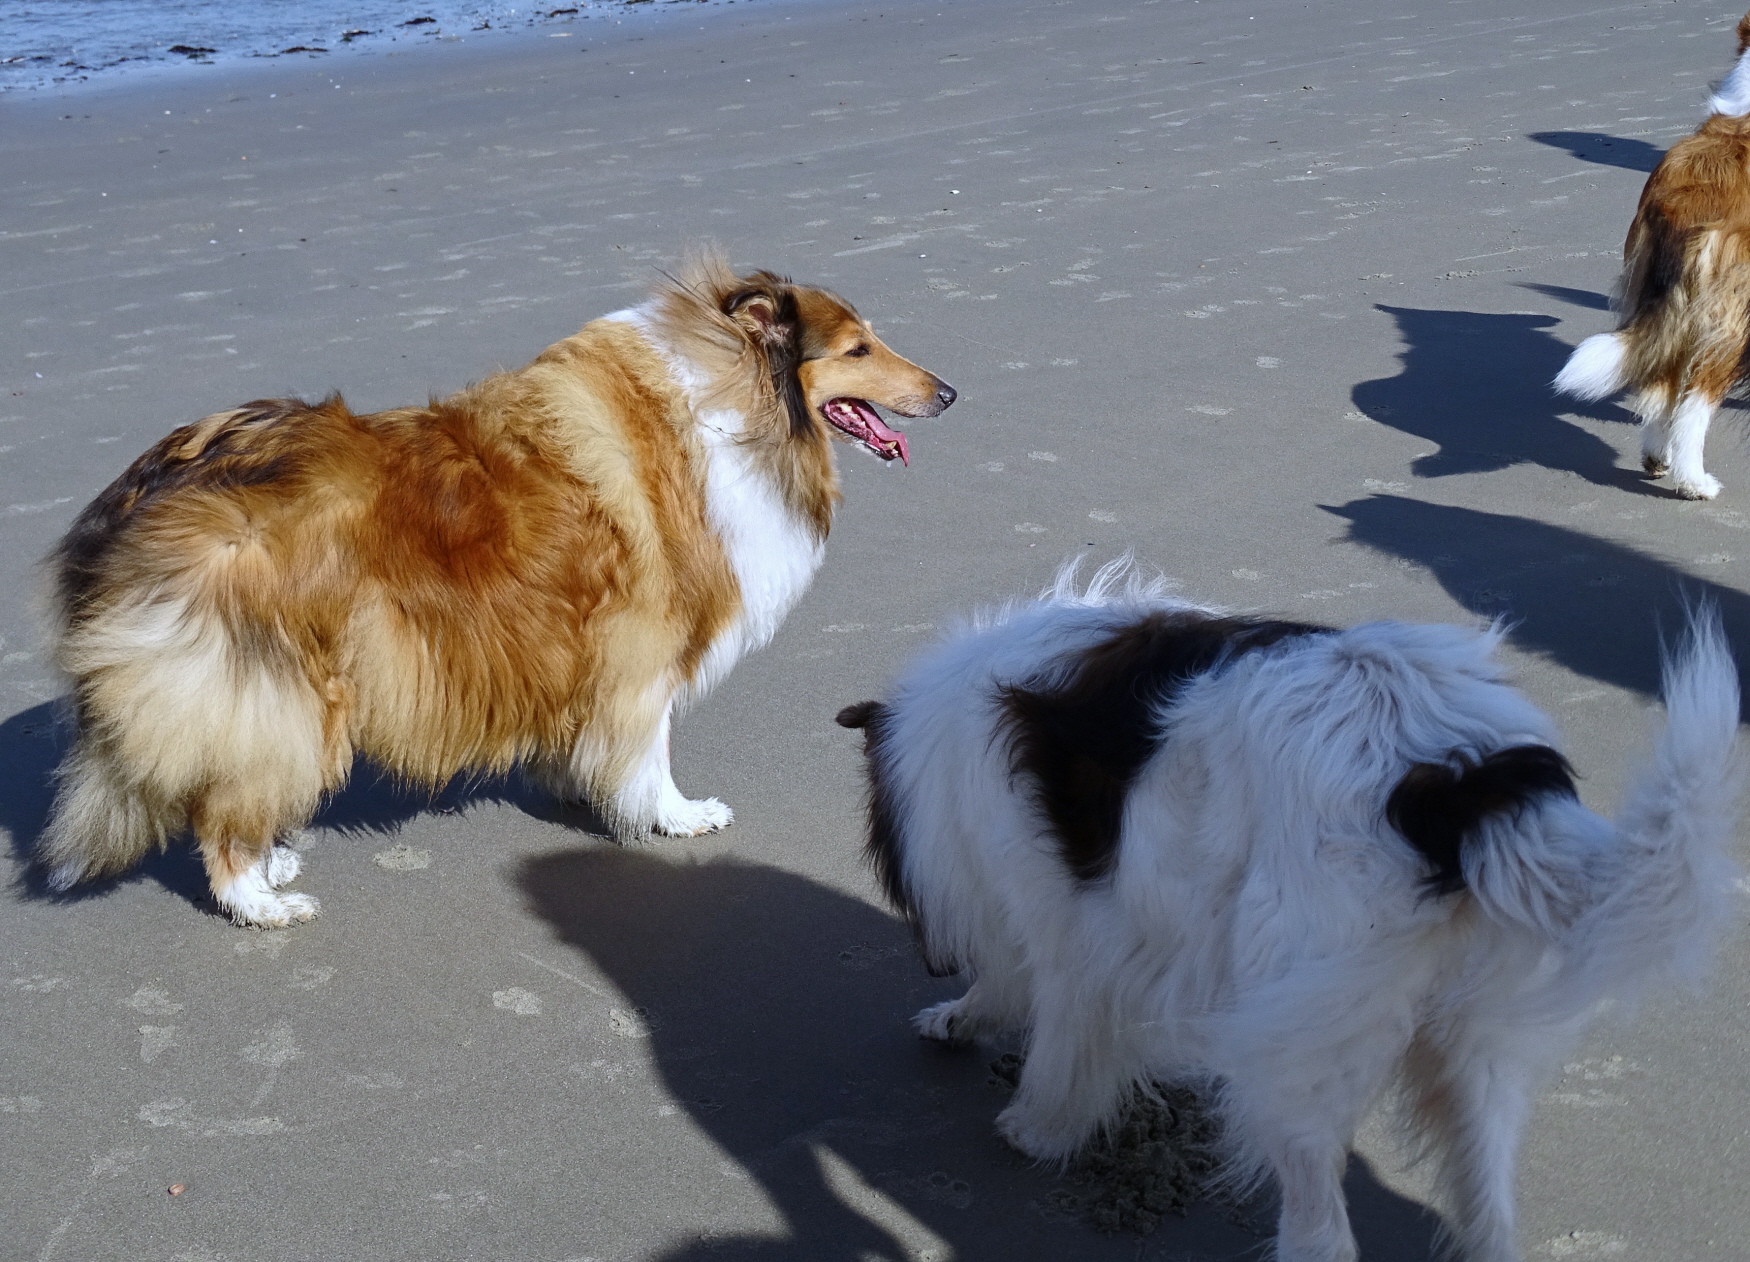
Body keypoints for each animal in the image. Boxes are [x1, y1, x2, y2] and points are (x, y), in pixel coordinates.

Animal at [40, 250, 955, 928]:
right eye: (858, 349)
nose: (949, 392)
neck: (732, 403)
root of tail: (150, 481)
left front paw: (579, 785)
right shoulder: (644, 645)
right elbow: (650, 749)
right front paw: (673, 816)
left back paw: (273, 861)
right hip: (285, 682)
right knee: (222, 816)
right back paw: (261, 900)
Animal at [837, 561, 1739, 1262]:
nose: (930, 958)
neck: (945, 748)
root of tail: (1459, 783)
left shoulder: (1065, 923)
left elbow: (1044, 1018)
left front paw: (1030, 1119)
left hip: (1295, 1051)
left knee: (1322, 1229)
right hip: (1474, 1047)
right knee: (1488, 1214)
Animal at [1554, 10, 1750, 500]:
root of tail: (1683, 205)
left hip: (1662, 299)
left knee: (1661, 383)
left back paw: (1657, 459)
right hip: (1729, 317)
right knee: (1695, 401)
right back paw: (1695, 482)